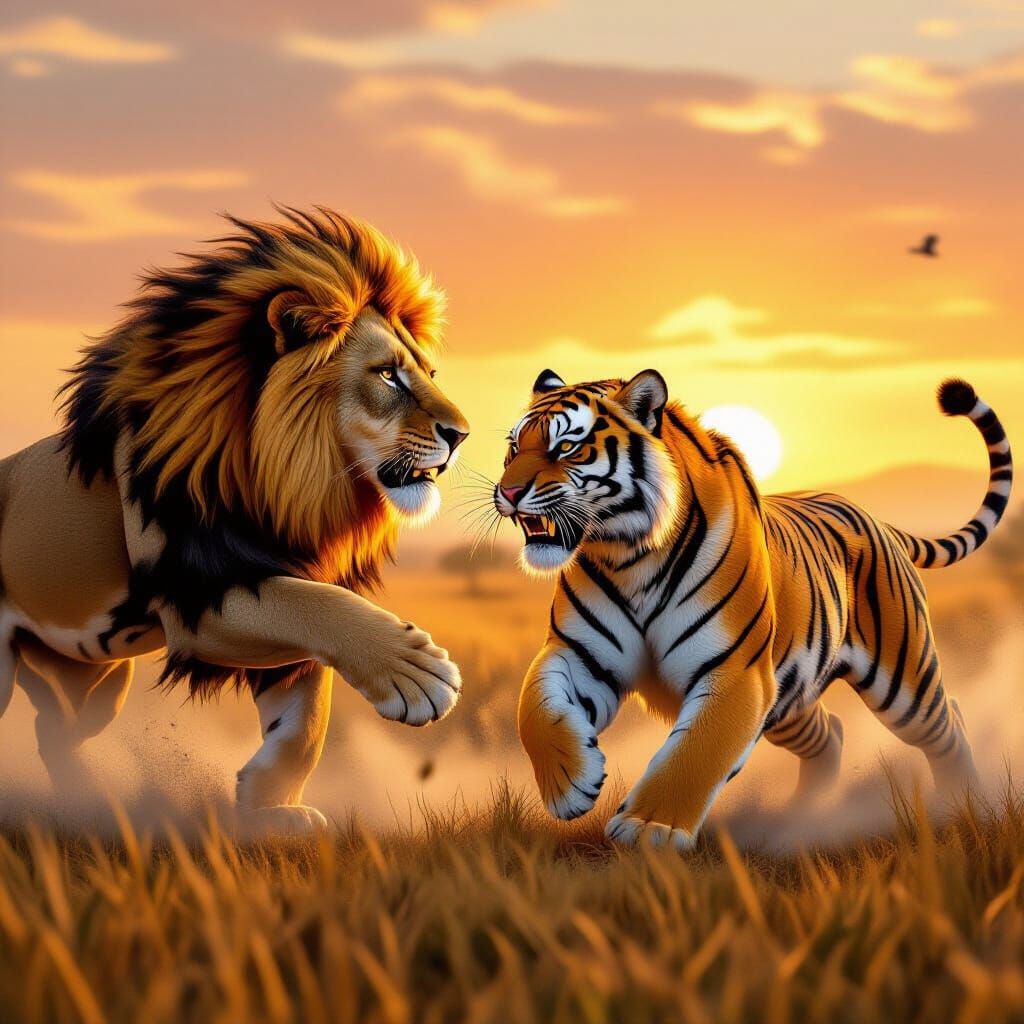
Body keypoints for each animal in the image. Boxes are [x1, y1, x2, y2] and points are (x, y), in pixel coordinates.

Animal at [0, 206, 470, 833]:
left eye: (428, 373)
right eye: (388, 375)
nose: (462, 434)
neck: (283, 480)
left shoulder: (290, 572)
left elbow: (305, 717)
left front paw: (267, 813)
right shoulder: (198, 593)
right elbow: (318, 608)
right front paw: (417, 674)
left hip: (98, 678)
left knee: (51, 729)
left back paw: (89, 802)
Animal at [494, 368, 1012, 851]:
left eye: (566, 447)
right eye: (513, 448)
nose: (508, 493)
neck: (629, 555)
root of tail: (878, 520)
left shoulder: (736, 672)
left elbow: (697, 750)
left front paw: (649, 829)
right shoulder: (577, 653)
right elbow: (534, 709)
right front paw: (570, 784)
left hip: (903, 683)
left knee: (948, 723)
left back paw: (961, 802)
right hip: (789, 699)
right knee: (831, 732)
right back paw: (799, 816)